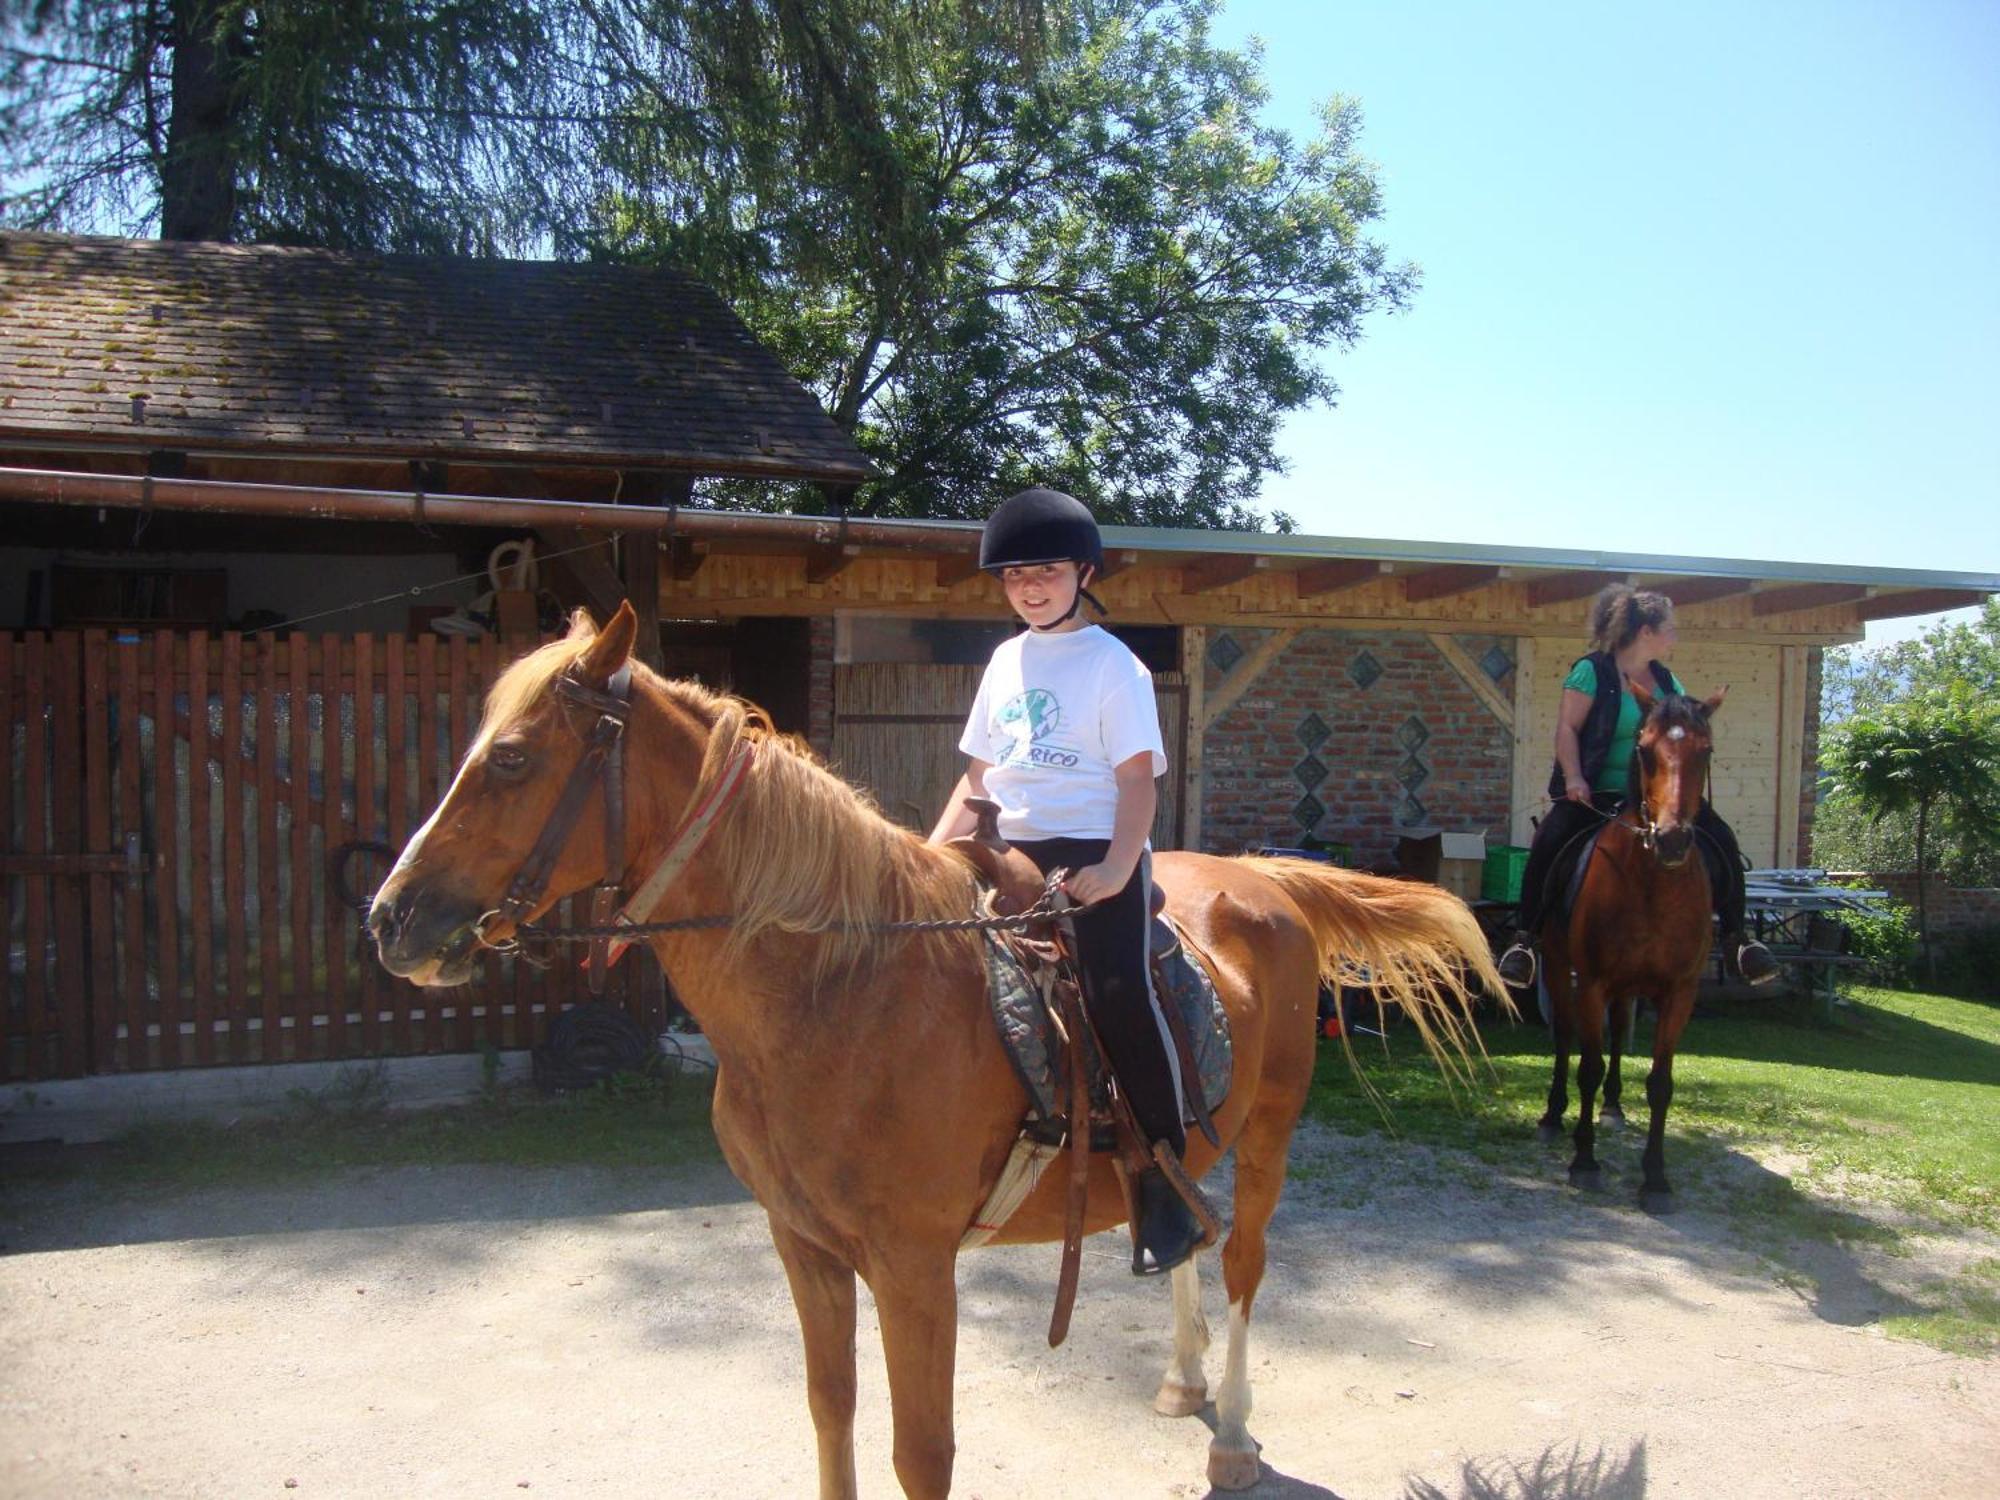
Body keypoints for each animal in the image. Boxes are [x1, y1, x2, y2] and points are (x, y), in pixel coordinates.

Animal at [372, 604, 1504, 1496]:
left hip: (1269, 1132)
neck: (840, 994)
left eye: (512, 758)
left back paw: (1226, 1432)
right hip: (1185, 1143)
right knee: (1183, 1227)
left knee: (1241, 1264)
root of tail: (1261, 878)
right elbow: (831, 1415)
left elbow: (923, 1453)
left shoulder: (913, 1267)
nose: (391, 919)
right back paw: (1181, 1383)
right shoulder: (804, 1246)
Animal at [1536, 680, 1728, 1224]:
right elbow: (1588, 1065)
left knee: (1620, 1035)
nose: (1672, 839)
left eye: (1706, 751)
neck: (1650, 885)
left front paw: (1656, 1180)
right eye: (1644, 750)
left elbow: (1660, 1083)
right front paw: (1584, 1160)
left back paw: (1615, 1108)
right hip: (1558, 966)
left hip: (1629, 989)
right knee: (1565, 1036)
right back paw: (1553, 1115)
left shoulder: (1679, 991)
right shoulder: (1592, 981)